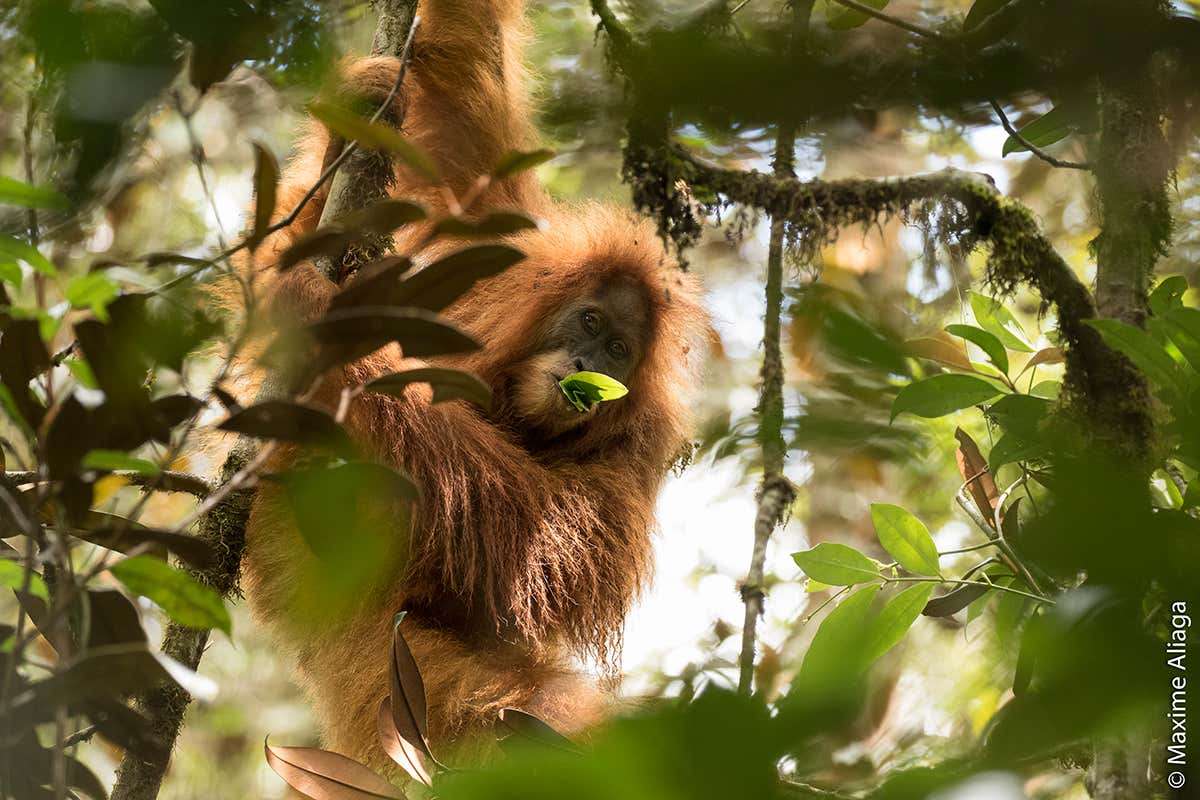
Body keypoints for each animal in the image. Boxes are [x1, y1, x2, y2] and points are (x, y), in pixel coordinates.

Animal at [238, 0, 710, 773]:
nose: (590, 361)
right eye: (588, 320)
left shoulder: (633, 459)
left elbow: (529, 549)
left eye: (618, 350)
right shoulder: (496, 253)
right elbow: (466, 93)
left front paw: (321, 321)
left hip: (396, 660)